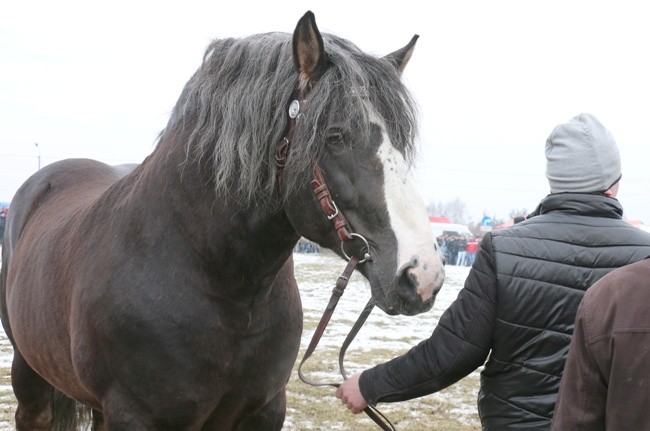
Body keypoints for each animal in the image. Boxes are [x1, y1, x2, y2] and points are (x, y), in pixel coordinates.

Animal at [0, 11, 442, 430]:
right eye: (335, 135)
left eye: (401, 139)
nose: (423, 276)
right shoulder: (134, 414)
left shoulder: (264, 411)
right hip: (29, 374)